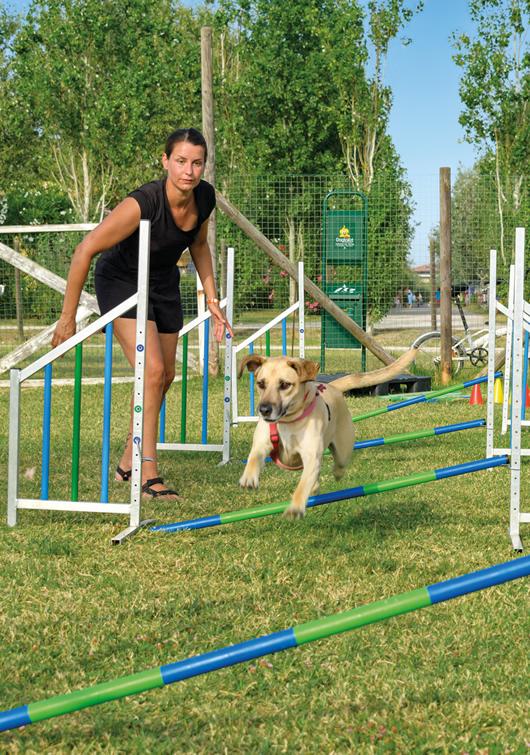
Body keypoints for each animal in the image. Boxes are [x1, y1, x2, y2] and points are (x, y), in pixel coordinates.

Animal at [238, 348, 416, 520]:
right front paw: (249, 477)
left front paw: (295, 507)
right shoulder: (262, 444)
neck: (288, 420)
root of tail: (333, 387)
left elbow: (302, 486)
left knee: (338, 464)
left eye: (285, 385)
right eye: (261, 384)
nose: (264, 410)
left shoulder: (311, 457)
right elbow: (254, 457)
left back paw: (336, 473)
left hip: (343, 448)